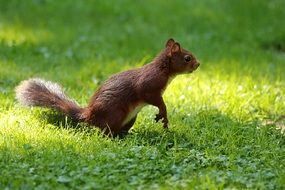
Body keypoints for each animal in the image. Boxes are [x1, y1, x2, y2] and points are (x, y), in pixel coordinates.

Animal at [14, 38, 199, 137]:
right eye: (187, 58)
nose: (198, 64)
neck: (163, 70)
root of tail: (89, 115)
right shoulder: (149, 86)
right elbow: (157, 101)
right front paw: (163, 114)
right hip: (116, 113)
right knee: (106, 132)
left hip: (130, 118)